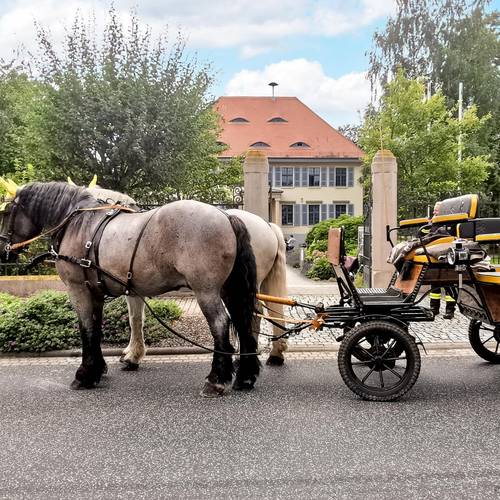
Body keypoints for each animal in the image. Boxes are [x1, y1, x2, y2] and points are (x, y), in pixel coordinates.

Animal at [1, 182, 262, 396]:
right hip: (228, 288)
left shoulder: (78, 290)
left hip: (205, 290)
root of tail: (226, 215)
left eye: (5, 212)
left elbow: (85, 328)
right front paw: (97, 369)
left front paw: (84, 374)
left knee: (220, 324)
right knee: (242, 320)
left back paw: (216, 379)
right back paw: (245, 377)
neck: (79, 225)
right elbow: (96, 328)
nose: (3, 251)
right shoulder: (95, 291)